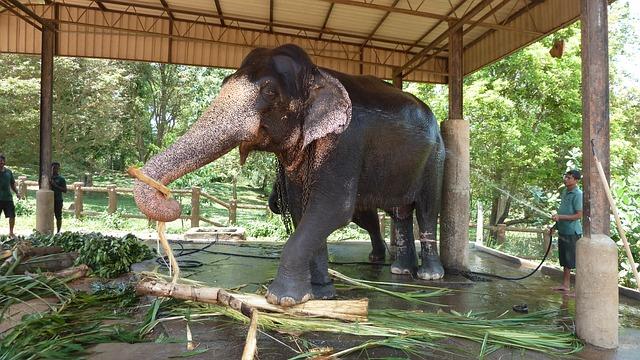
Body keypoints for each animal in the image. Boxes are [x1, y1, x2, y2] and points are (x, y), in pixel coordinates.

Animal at [134, 43, 444, 306]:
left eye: (270, 92)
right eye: (224, 83)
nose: (170, 199)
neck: (318, 73)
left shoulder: (346, 141)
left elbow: (333, 208)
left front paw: (282, 299)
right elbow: (301, 209)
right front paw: (320, 294)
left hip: (436, 159)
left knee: (426, 210)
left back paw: (429, 276)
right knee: (401, 213)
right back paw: (401, 271)